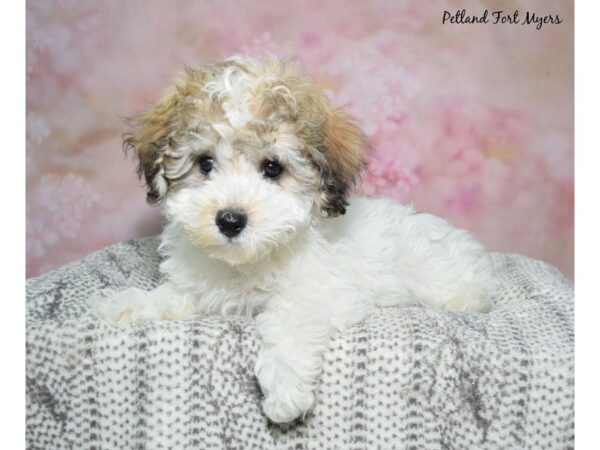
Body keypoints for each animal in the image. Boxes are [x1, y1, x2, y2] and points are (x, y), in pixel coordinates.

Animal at [92, 54, 496, 424]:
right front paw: (129, 305)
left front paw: (285, 390)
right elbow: (170, 296)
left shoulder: (325, 293)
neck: (249, 262)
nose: (230, 220)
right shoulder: (200, 288)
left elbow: (287, 320)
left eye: (272, 168)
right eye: (205, 163)